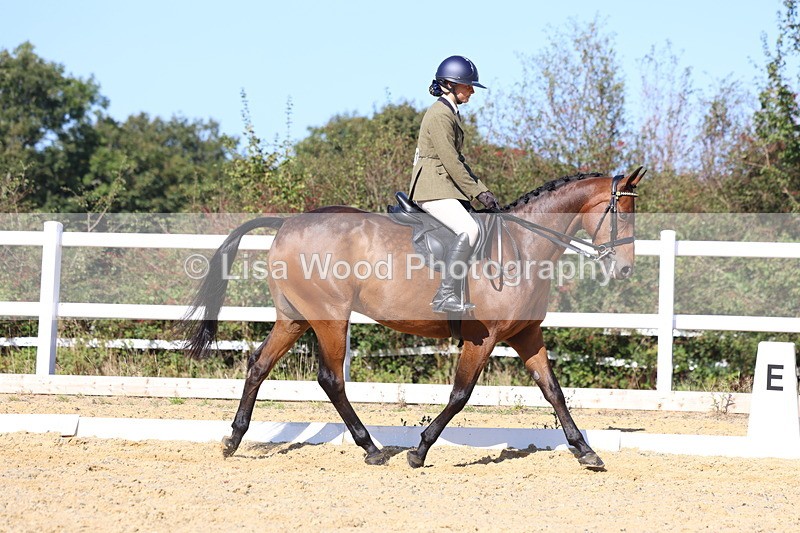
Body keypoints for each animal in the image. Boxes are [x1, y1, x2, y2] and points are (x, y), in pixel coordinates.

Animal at [181, 167, 646, 469]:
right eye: (620, 212)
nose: (625, 269)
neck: (522, 246)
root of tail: (288, 223)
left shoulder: (526, 335)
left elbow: (554, 392)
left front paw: (585, 451)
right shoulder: (482, 339)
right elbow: (460, 395)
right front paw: (419, 451)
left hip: (296, 318)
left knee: (258, 366)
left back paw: (233, 439)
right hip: (330, 317)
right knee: (330, 379)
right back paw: (371, 449)